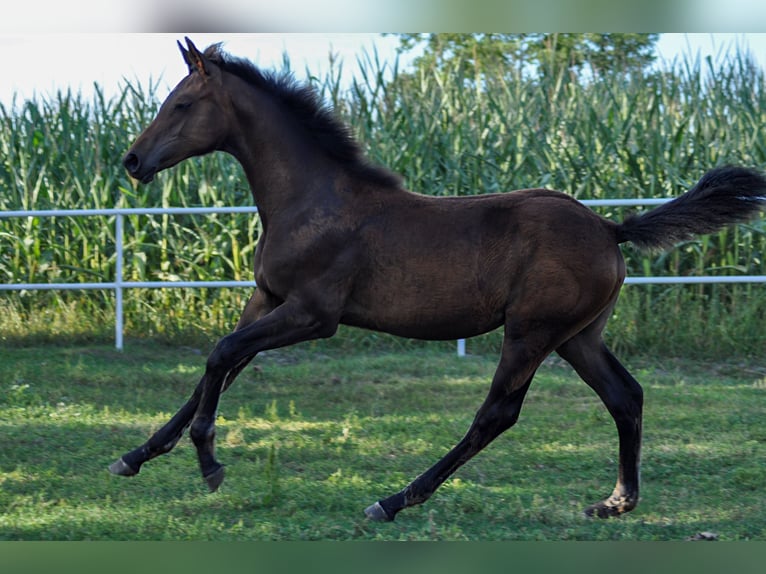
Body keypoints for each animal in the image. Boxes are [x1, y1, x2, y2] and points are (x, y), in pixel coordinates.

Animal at [112, 35, 766, 520]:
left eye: (181, 104)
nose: (132, 161)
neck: (312, 199)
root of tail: (610, 228)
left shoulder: (312, 315)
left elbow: (221, 355)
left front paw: (209, 462)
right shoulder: (267, 299)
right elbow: (216, 366)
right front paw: (136, 455)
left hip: (530, 332)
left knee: (497, 414)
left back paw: (395, 499)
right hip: (578, 336)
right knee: (624, 396)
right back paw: (616, 502)